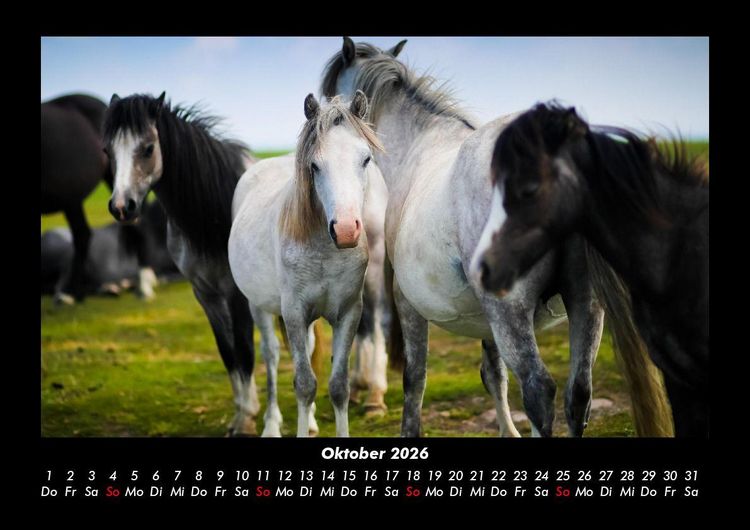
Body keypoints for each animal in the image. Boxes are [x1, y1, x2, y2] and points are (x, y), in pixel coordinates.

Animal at [103, 92, 262, 436]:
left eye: (148, 148)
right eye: (107, 151)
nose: (122, 207)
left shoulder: (236, 295)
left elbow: (245, 350)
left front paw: (246, 420)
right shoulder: (205, 295)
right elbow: (229, 352)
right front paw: (243, 413)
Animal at [228, 92, 385, 437]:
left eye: (366, 159)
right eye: (315, 165)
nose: (346, 230)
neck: (325, 252)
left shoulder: (348, 313)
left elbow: (338, 386)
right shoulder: (294, 314)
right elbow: (304, 384)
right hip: (259, 307)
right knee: (272, 356)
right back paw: (271, 425)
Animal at [321, 37, 670, 437]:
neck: (419, 145)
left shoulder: (408, 302)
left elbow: (414, 378)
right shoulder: (484, 316)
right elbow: (494, 375)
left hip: (511, 311)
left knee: (538, 390)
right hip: (585, 304)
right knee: (578, 393)